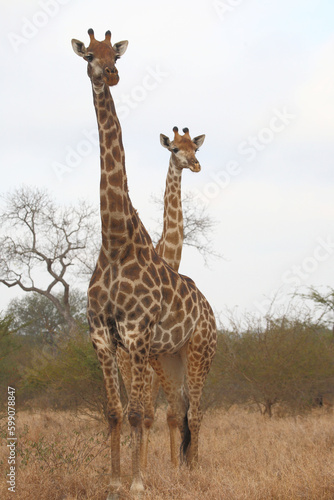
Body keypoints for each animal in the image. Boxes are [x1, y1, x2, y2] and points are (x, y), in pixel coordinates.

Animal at [117, 126, 206, 468]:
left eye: (195, 147)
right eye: (174, 149)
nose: (195, 165)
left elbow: (166, 414)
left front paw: (171, 463)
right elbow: (149, 415)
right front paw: (148, 467)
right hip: (125, 364)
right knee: (127, 410)